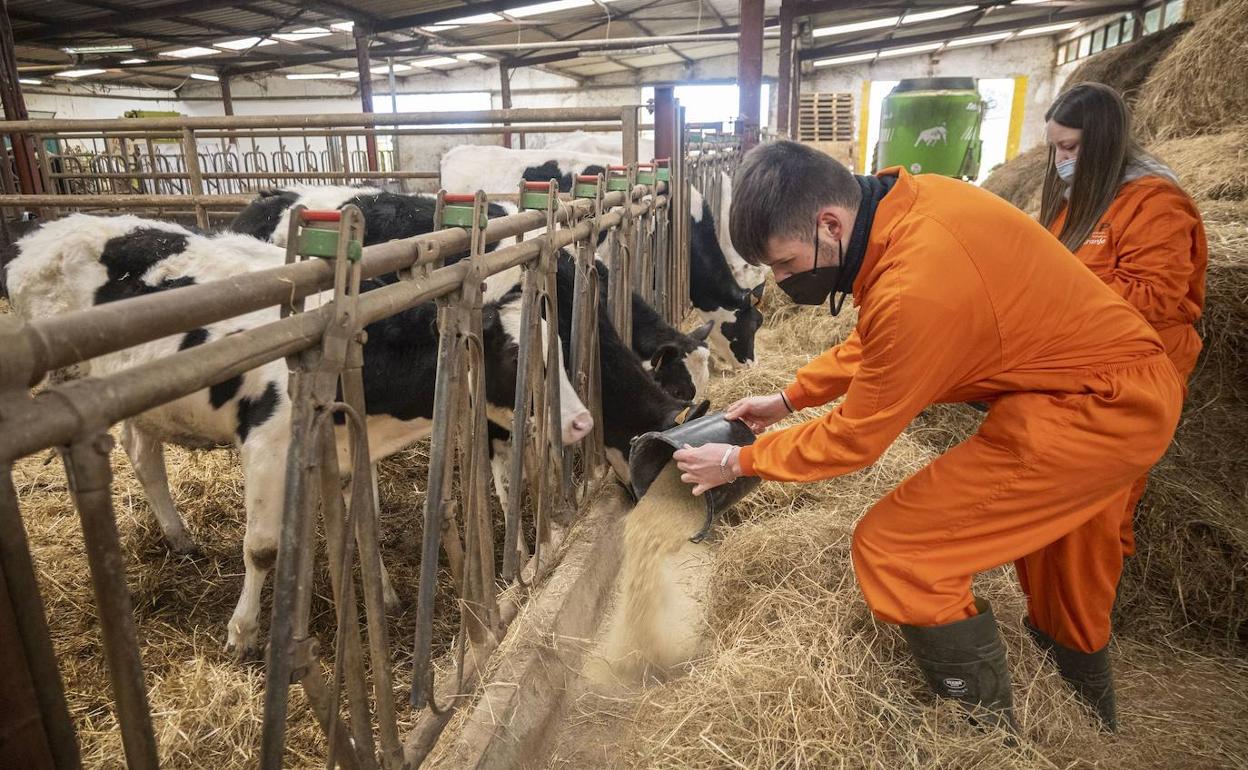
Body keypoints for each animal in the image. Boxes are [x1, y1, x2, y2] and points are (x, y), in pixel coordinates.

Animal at [4, 213, 591, 658]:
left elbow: (362, 524)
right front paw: (242, 633)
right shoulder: (266, 447)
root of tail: (42, 231)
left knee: (143, 452)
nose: (581, 422)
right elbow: (263, 548)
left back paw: (179, 537)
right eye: (514, 356)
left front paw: (382, 592)